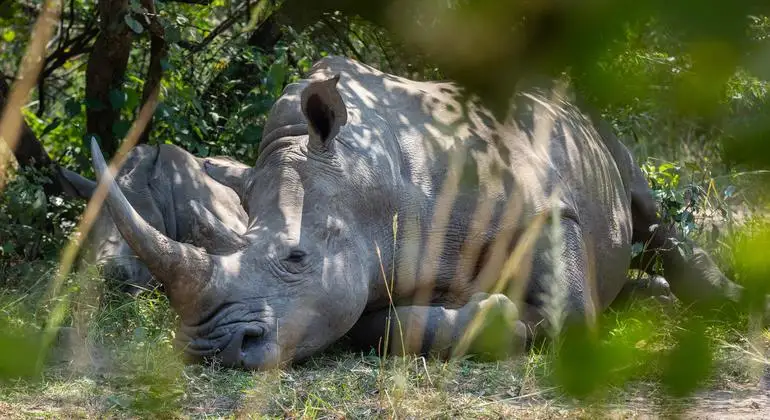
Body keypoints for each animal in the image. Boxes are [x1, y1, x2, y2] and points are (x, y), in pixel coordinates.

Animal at [91, 57, 760, 370]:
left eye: (296, 257)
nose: (212, 350)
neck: (368, 180)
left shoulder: (548, 211)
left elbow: (569, 316)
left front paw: (511, 317)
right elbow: (384, 327)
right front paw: (494, 316)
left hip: (593, 127)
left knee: (643, 198)